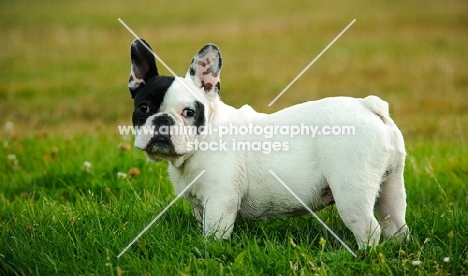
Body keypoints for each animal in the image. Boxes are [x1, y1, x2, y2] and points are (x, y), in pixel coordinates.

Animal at [126, 39, 408, 248]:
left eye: (189, 112)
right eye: (143, 108)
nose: (163, 120)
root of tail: (368, 106)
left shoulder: (219, 201)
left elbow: (214, 235)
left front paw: (210, 252)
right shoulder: (200, 205)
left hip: (351, 190)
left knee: (369, 229)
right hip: (391, 184)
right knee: (395, 224)